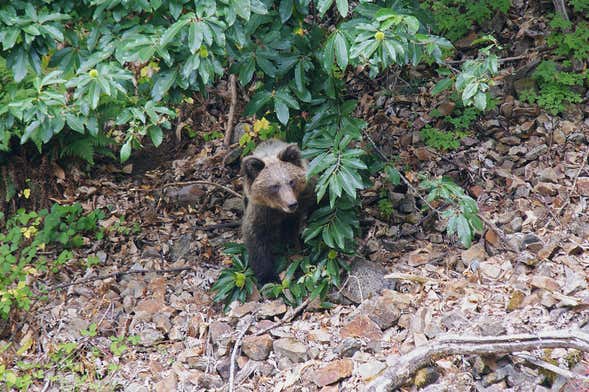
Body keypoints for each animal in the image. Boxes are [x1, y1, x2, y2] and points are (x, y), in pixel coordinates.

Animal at [240, 139, 314, 284]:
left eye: (291, 181)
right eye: (274, 186)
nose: (292, 204)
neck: (280, 210)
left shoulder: (307, 194)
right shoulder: (262, 211)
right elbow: (255, 236)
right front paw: (268, 277)